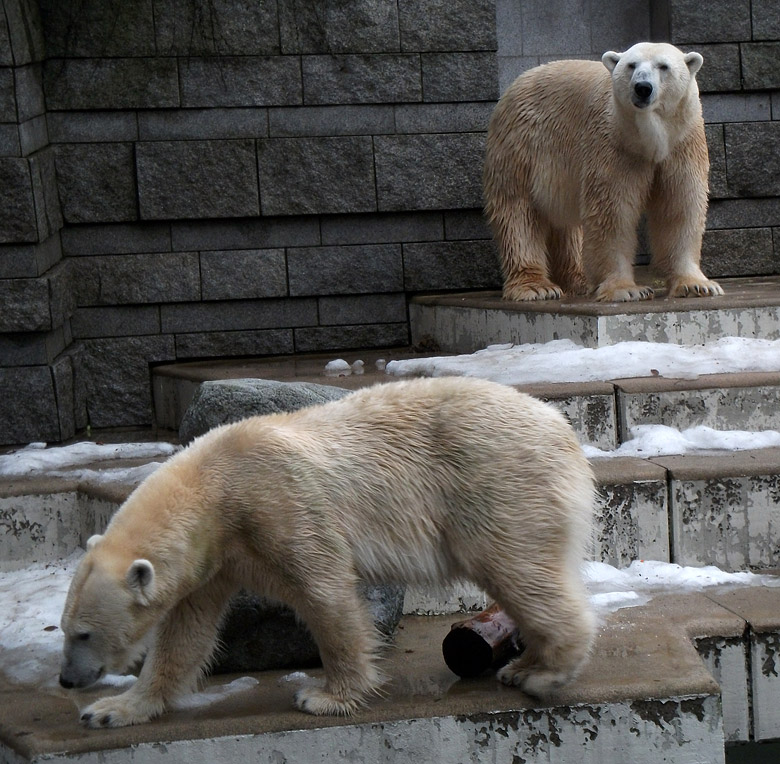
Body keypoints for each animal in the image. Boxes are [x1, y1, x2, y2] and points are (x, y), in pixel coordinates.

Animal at [59, 376, 596, 728]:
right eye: (64, 629)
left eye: (84, 634)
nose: (66, 681)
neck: (215, 486)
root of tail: (564, 431)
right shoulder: (215, 557)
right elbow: (184, 632)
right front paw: (111, 710)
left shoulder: (278, 503)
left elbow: (325, 593)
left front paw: (323, 696)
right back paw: (523, 665)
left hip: (497, 482)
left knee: (516, 567)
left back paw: (544, 672)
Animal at [484, 42, 724, 302]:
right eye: (631, 65)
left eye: (663, 66)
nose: (642, 88)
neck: (650, 137)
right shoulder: (613, 143)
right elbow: (613, 211)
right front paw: (626, 289)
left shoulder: (683, 142)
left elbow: (680, 205)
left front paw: (697, 285)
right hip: (522, 146)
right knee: (518, 211)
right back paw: (537, 286)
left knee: (567, 224)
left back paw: (580, 280)